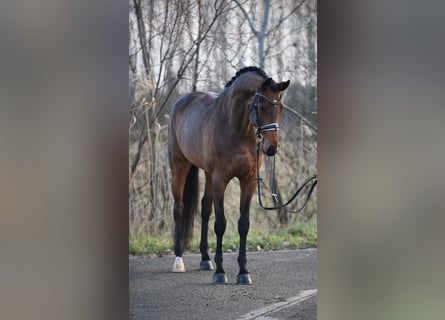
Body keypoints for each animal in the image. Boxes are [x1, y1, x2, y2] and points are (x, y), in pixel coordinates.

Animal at [168, 66, 290, 284]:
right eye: (261, 106)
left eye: (281, 108)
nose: (272, 148)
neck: (237, 128)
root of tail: (181, 102)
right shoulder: (220, 179)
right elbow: (220, 224)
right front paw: (220, 272)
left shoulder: (248, 181)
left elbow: (243, 224)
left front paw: (243, 272)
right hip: (179, 168)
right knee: (179, 209)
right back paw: (178, 260)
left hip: (207, 174)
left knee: (205, 208)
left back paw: (205, 259)